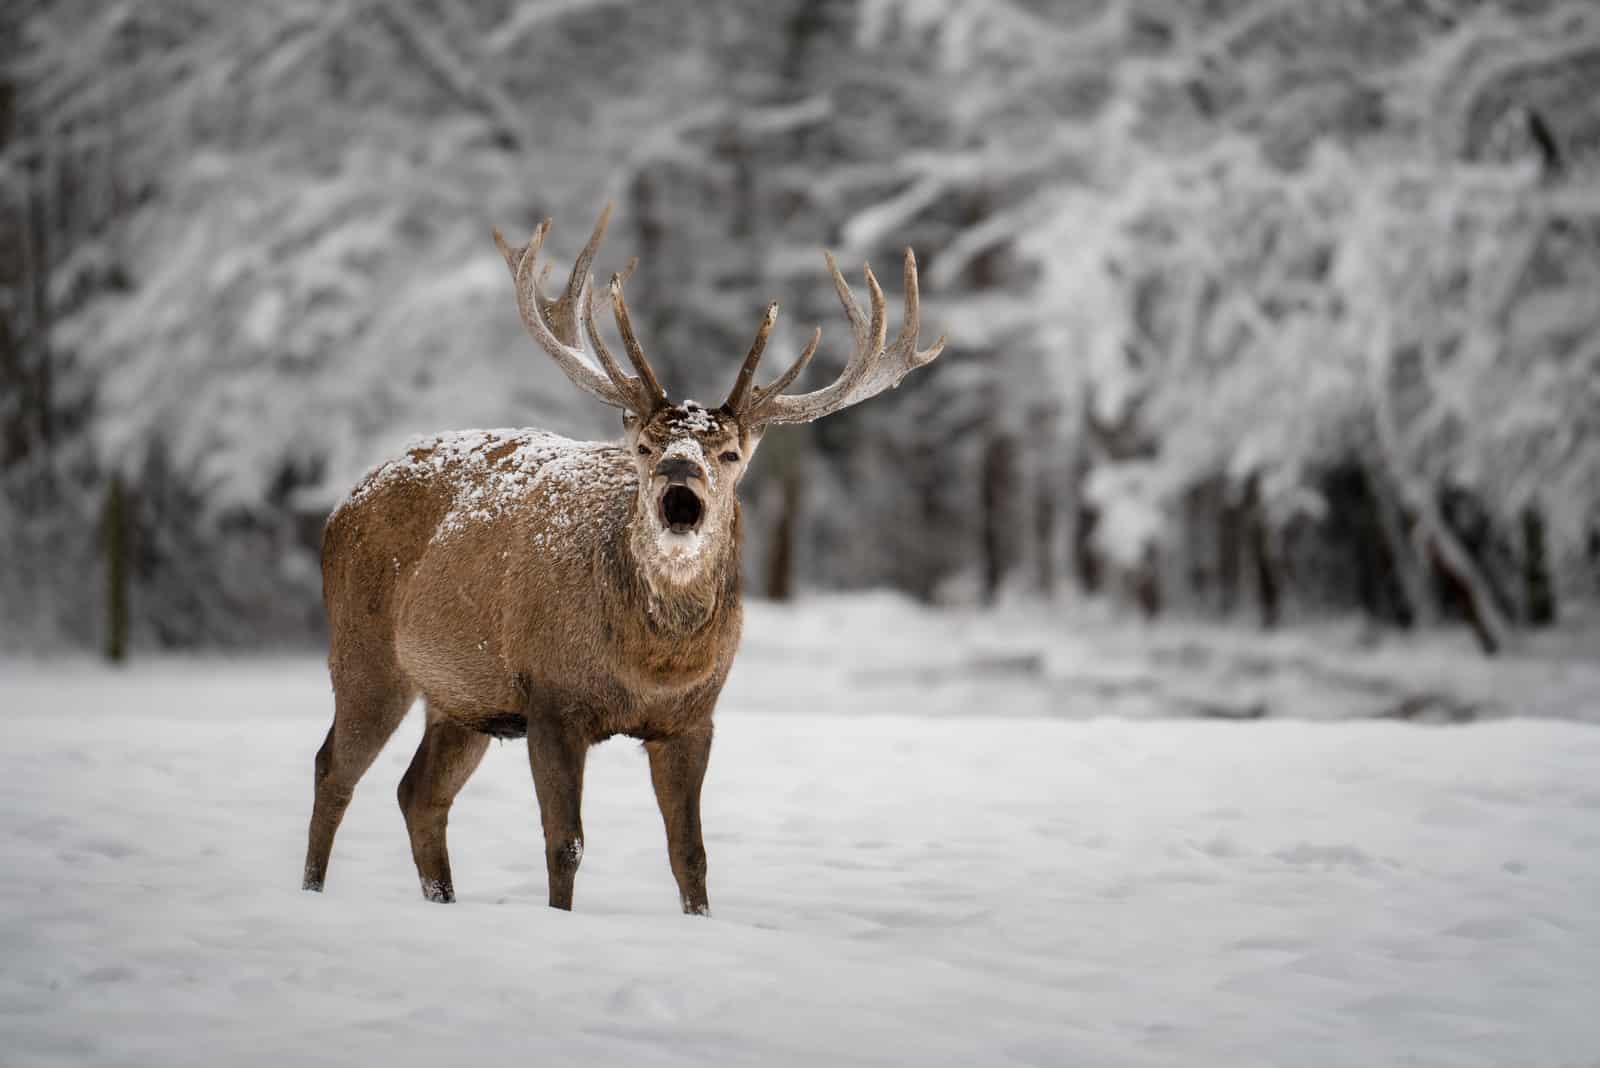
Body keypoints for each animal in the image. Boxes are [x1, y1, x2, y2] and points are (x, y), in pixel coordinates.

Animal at [302, 204, 934, 914]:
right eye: (645, 447)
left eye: (730, 454)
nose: (680, 492)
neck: (651, 665)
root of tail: (342, 506)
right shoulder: (552, 699)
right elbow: (565, 843)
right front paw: (560, 917)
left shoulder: (692, 719)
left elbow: (691, 854)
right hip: (365, 649)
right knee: (332, 769)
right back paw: (312, 891)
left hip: (464, 698)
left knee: (418, 792)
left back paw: (442, 899)